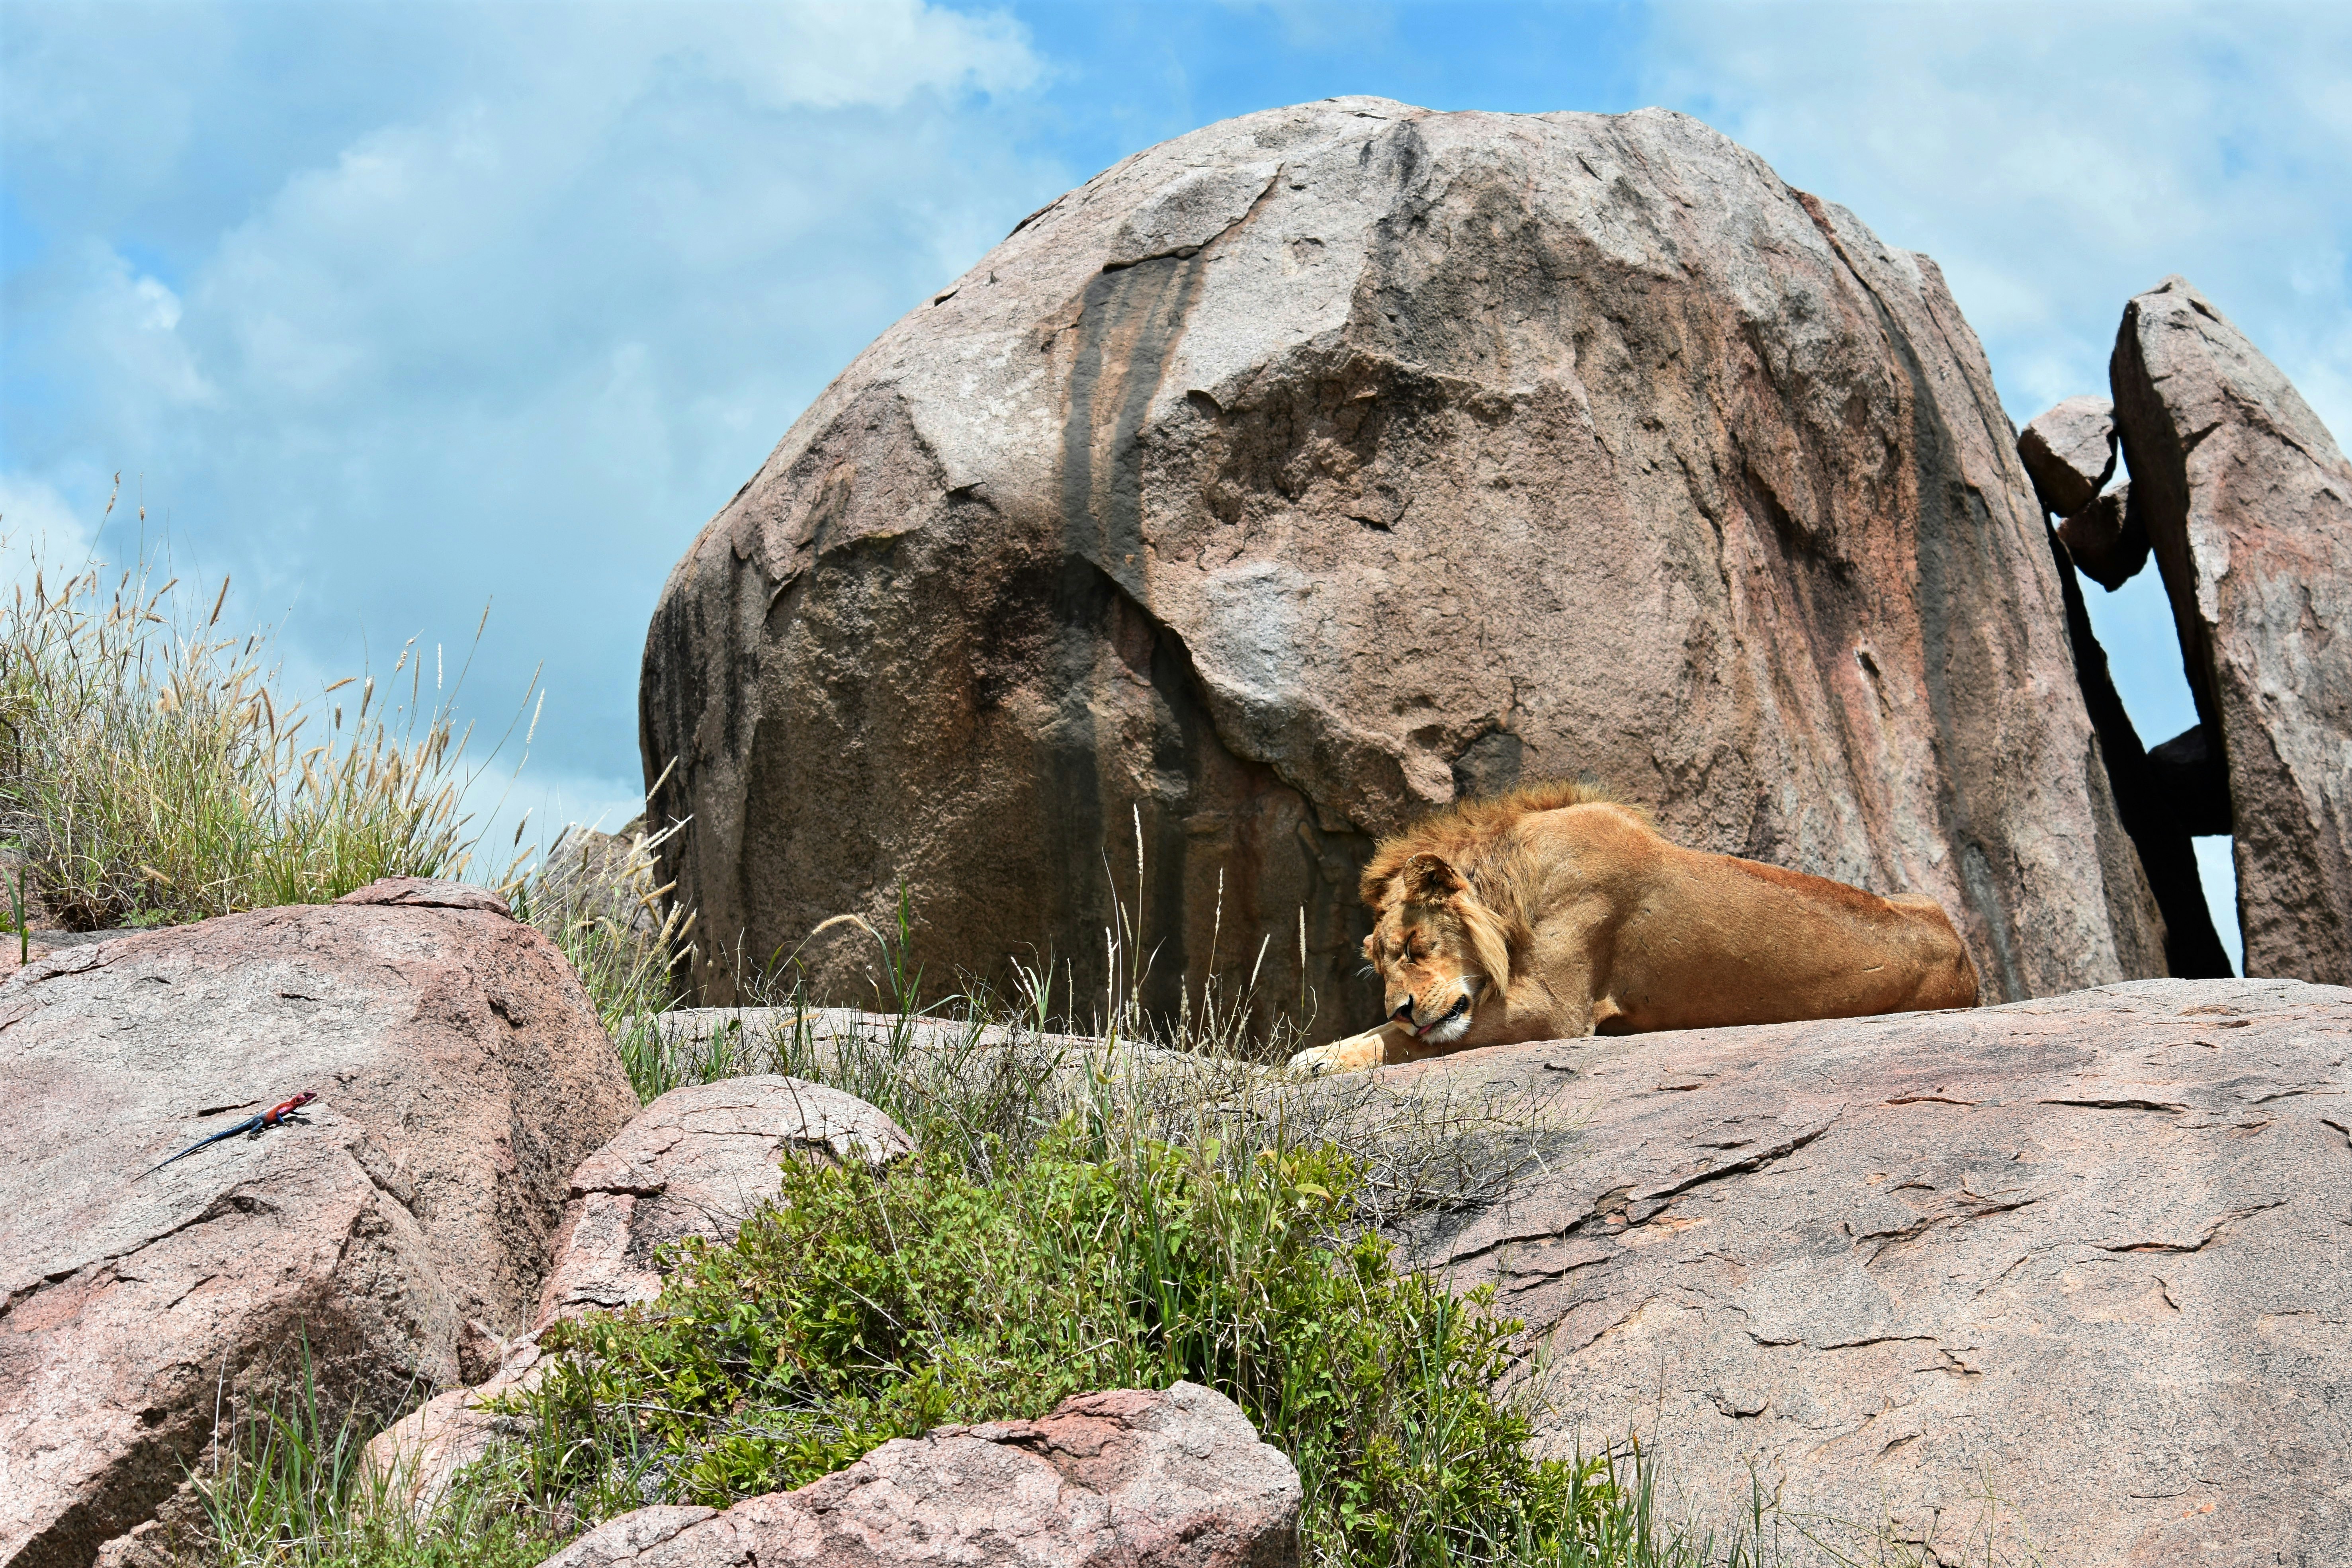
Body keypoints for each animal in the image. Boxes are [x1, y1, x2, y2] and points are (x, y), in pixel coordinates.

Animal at [1287, 781, 1979, 1075]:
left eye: (1415, 945)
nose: (1402, 1006)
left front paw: (1314, 1057)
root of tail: (1965, 961)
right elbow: (1395, 1035)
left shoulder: (1555, 1010)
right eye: (1378, 965)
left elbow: (1400, 1041)